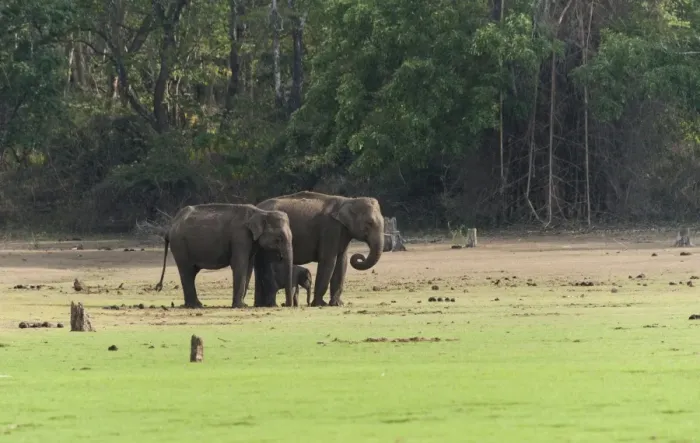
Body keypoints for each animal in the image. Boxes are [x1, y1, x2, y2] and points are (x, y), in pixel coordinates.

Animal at [154, 203, 294, 309]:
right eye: (279, 238)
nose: (285, 304)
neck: (261, 212)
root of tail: (170, 227)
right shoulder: (240, 237)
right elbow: (239, 265)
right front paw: (239, 306)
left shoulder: (250, 241)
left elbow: (248, 267)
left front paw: (243, 304)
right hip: (180, 245)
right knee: (186, 271)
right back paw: (195, 306)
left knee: (191, 272)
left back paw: (196, 305)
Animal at [248, 191, 385, 307]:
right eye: (369, 222)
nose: (360, 256)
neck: (349, 201)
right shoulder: (331, 229)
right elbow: (328, 260)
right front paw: (320, 304)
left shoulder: (343, 231)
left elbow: (342, 262)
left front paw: (337, 304)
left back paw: (260, 305)